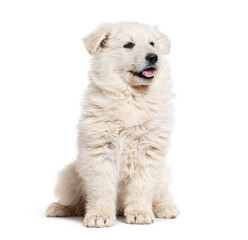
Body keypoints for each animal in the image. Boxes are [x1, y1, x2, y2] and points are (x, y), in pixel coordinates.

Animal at [46, 22, 178, 227]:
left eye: (153, 44)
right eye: (129, 45)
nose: (153, 57)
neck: (132, 95)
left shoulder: (149, 151)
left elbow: (142, 186)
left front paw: (139, 213)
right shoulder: (100, 150)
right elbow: (102, 187)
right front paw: (99, 215)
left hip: (164, 173)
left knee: (161, 194)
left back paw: (165, 208)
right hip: (69, 175)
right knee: (77, 201)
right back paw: (60, 208)